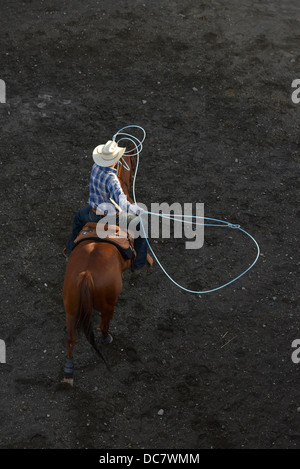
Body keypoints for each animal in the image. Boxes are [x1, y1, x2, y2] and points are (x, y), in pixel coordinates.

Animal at [62, 146, 142, 384]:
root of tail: (86, 274)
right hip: (108, 305)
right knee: (103, 325)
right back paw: (107, 339)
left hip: (71, 306)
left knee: (71, 337)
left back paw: (68, 372)